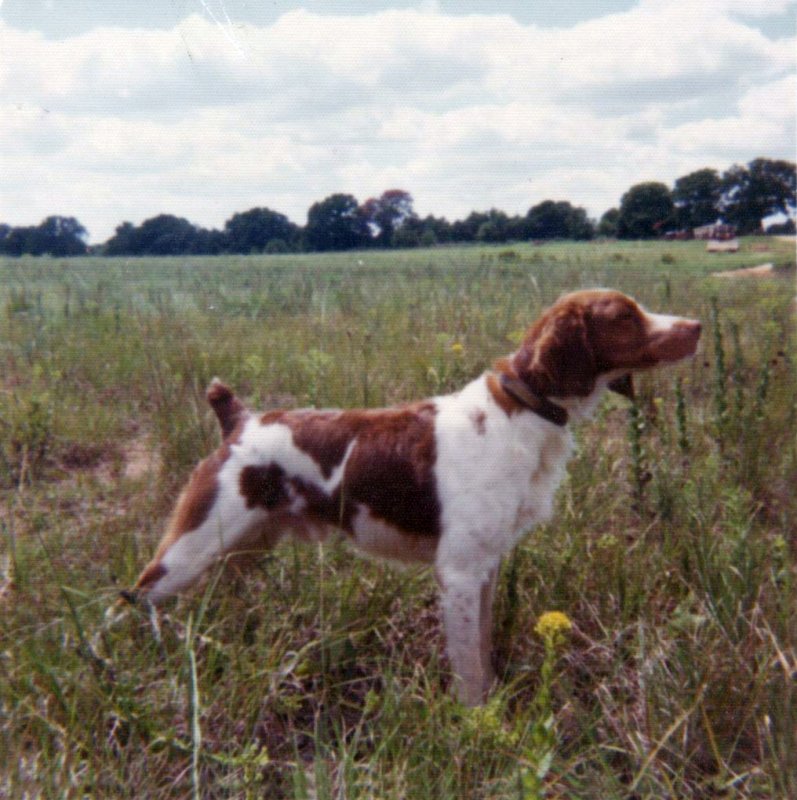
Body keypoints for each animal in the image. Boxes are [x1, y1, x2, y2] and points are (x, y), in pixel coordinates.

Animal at [121, 290, 700, 704]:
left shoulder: (484, 567)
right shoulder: (460, 571)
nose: (696, 327)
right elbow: (468, 667)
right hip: (192, 548)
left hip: (241, 548)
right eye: (624, 315)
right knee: (136, 596)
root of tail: (239, 420)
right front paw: (479, 723)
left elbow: (481, 649)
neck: (520, 412)